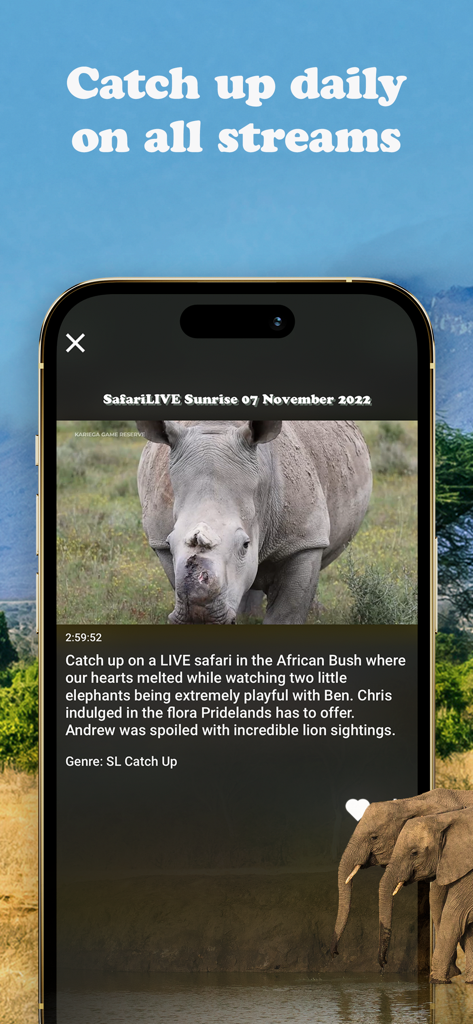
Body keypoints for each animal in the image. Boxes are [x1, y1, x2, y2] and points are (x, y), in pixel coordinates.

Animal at [136, 420, 372, 625]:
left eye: (245, 545)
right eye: (170, 543)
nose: (198, 614)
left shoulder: (303, 540)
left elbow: (286, 613)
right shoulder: (160, 541)